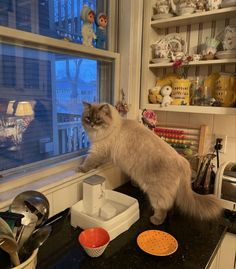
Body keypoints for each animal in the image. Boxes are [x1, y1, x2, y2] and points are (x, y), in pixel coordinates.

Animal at [78, 101, 222, 223]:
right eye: (88, 118)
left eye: (98, 119)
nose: (91, 124)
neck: (113, 127)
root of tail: (183, 161)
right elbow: (94, 163)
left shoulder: (98, 150)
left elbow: (89, 162)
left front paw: (81, 169)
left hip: (156, 193)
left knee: (163, 208)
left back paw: (155, 220)